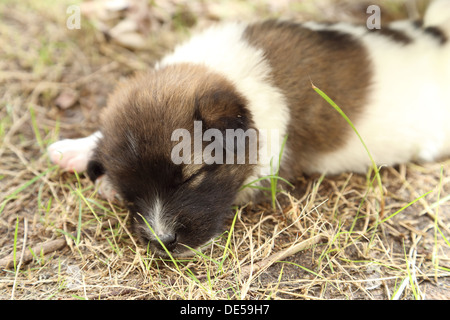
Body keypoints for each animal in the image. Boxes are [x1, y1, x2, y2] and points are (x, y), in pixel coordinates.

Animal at [47, 0, 450, 256]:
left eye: (194, 176)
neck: (236, 79)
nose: (163, 242)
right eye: (133, 192)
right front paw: (81, 152)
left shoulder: (270, 163)